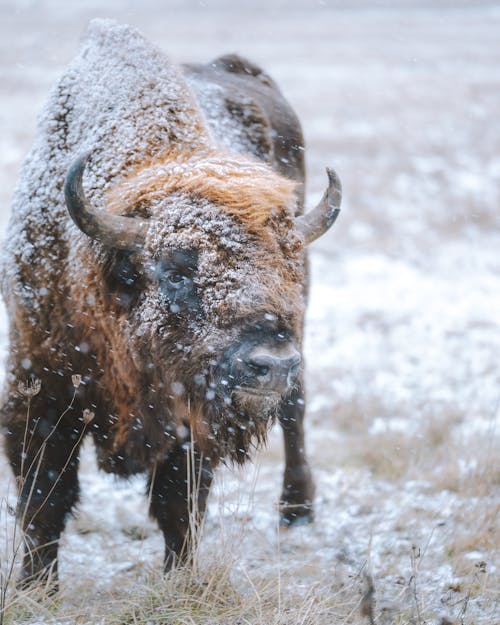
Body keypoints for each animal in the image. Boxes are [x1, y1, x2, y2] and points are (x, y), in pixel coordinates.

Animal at [0, 19, 340, 584]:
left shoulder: (189, 419)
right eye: (177, 270)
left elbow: (177, 505)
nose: (270, 363)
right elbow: (45, 500)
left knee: (295, 409)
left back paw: (297, 512)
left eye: (286, 267)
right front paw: (35, 587)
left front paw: (180, 578)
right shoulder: (37, 388)